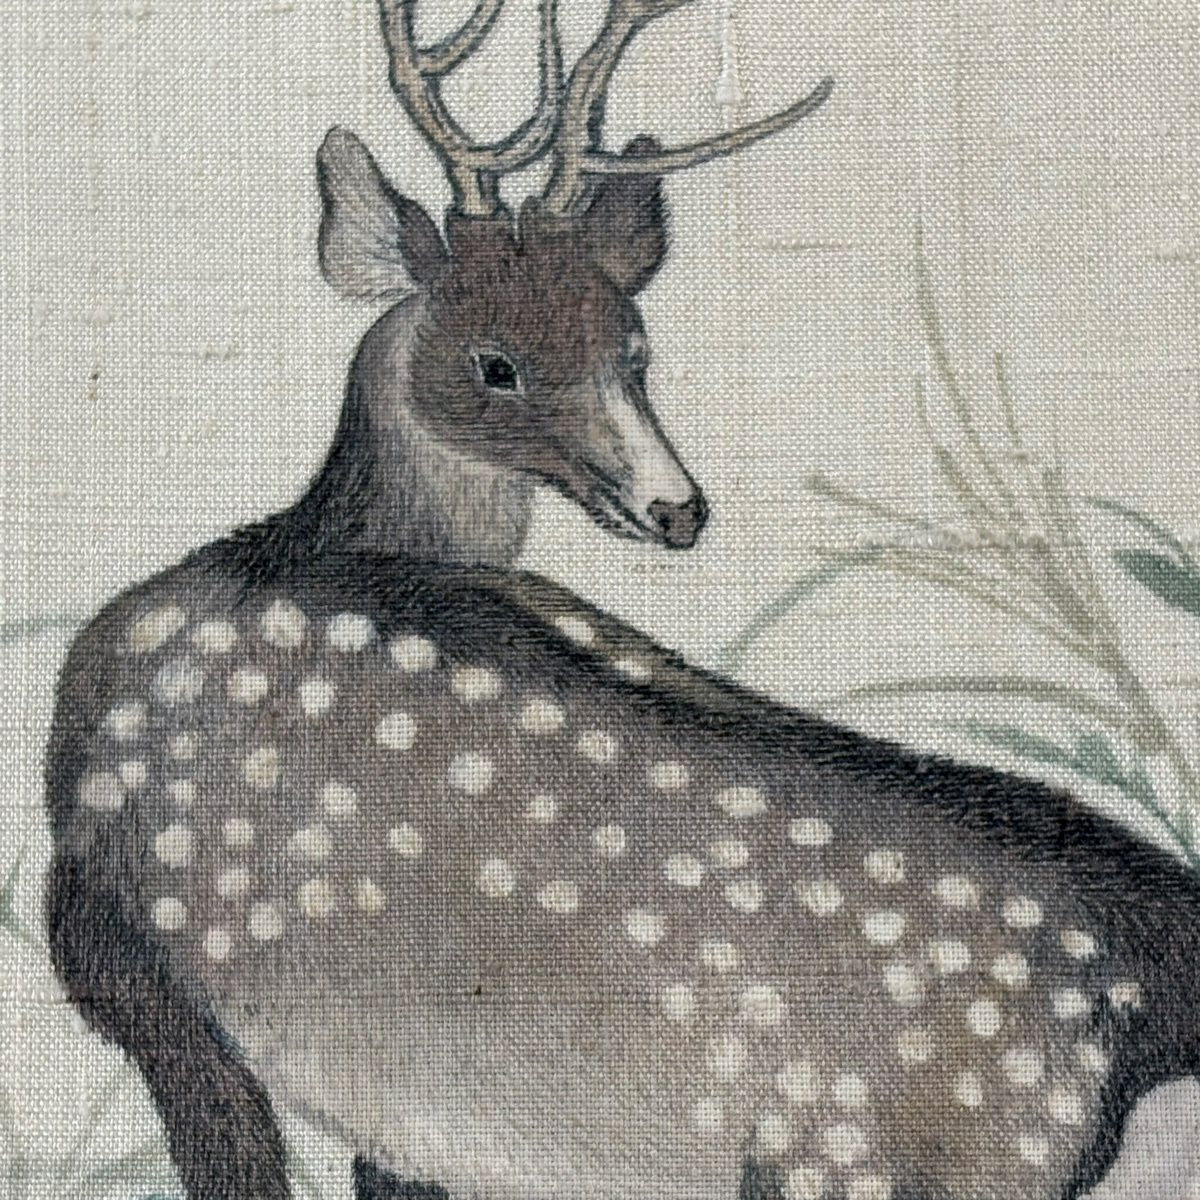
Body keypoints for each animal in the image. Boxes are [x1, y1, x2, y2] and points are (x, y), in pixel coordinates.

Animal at [42, 1, 1200, 1197]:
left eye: (635, 348)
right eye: (497, 363)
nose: (677, 508)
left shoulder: (120, 951)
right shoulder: (386, 1114)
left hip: (865, 1152)